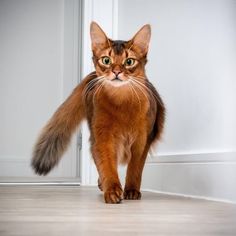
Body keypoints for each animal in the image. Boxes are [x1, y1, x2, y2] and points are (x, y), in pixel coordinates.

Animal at [31, 21, 165, 204]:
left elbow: (135, 168)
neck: (121, 102)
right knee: (97, 158)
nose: (116, 71)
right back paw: (102, 184)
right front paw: (112, 190)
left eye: (129, 61)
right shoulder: (102, 137)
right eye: (106, 60)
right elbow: (106, 164)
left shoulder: (143, 139)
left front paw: (131, 190)